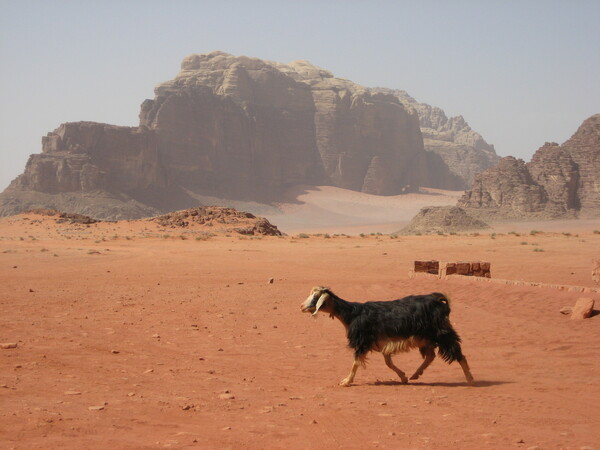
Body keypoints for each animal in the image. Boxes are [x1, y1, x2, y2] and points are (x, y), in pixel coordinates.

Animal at [300, 286, 474, 384]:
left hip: (441, 333)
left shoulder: (363, 341)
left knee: (458, 353)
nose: (301, 306)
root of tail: (440, 301)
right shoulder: (383, 343)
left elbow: (356, 362)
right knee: (431, 356)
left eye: (315, 297)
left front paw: (346, 381)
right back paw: (415, 375)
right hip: (426, 338)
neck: (352, 314)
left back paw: (470, 379)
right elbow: (388, 363)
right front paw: (403, 377)